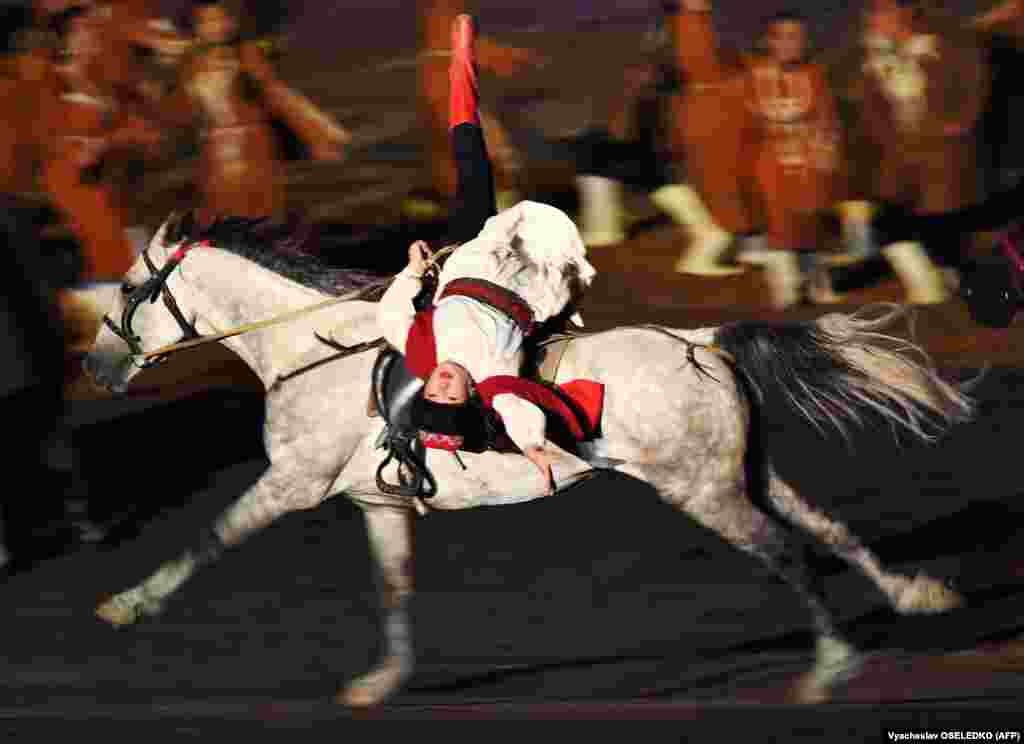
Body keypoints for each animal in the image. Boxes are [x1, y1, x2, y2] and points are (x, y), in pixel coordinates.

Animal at [83, 213, 970, 704]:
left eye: (126, 289)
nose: (94, 367)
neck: (311, 350)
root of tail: (698, 340)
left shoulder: (289, 483)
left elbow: (209, 538)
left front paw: (126, 604)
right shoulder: (378, 503)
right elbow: (394, 589)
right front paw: (383, 682)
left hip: (702, 489)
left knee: (786, 551)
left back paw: (830, 667)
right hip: (744, 473)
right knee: (825, 527)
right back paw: (916, 593)